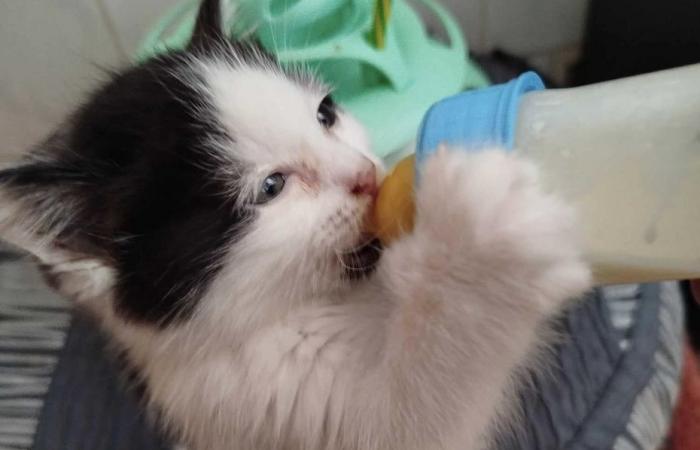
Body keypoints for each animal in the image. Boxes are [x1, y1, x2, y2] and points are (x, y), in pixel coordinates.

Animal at [0, 1, 592, 448]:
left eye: (326, 113)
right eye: (271, 187)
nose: (365, 177)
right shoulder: (249, 401)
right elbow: (411, 418)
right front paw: (476, 246)